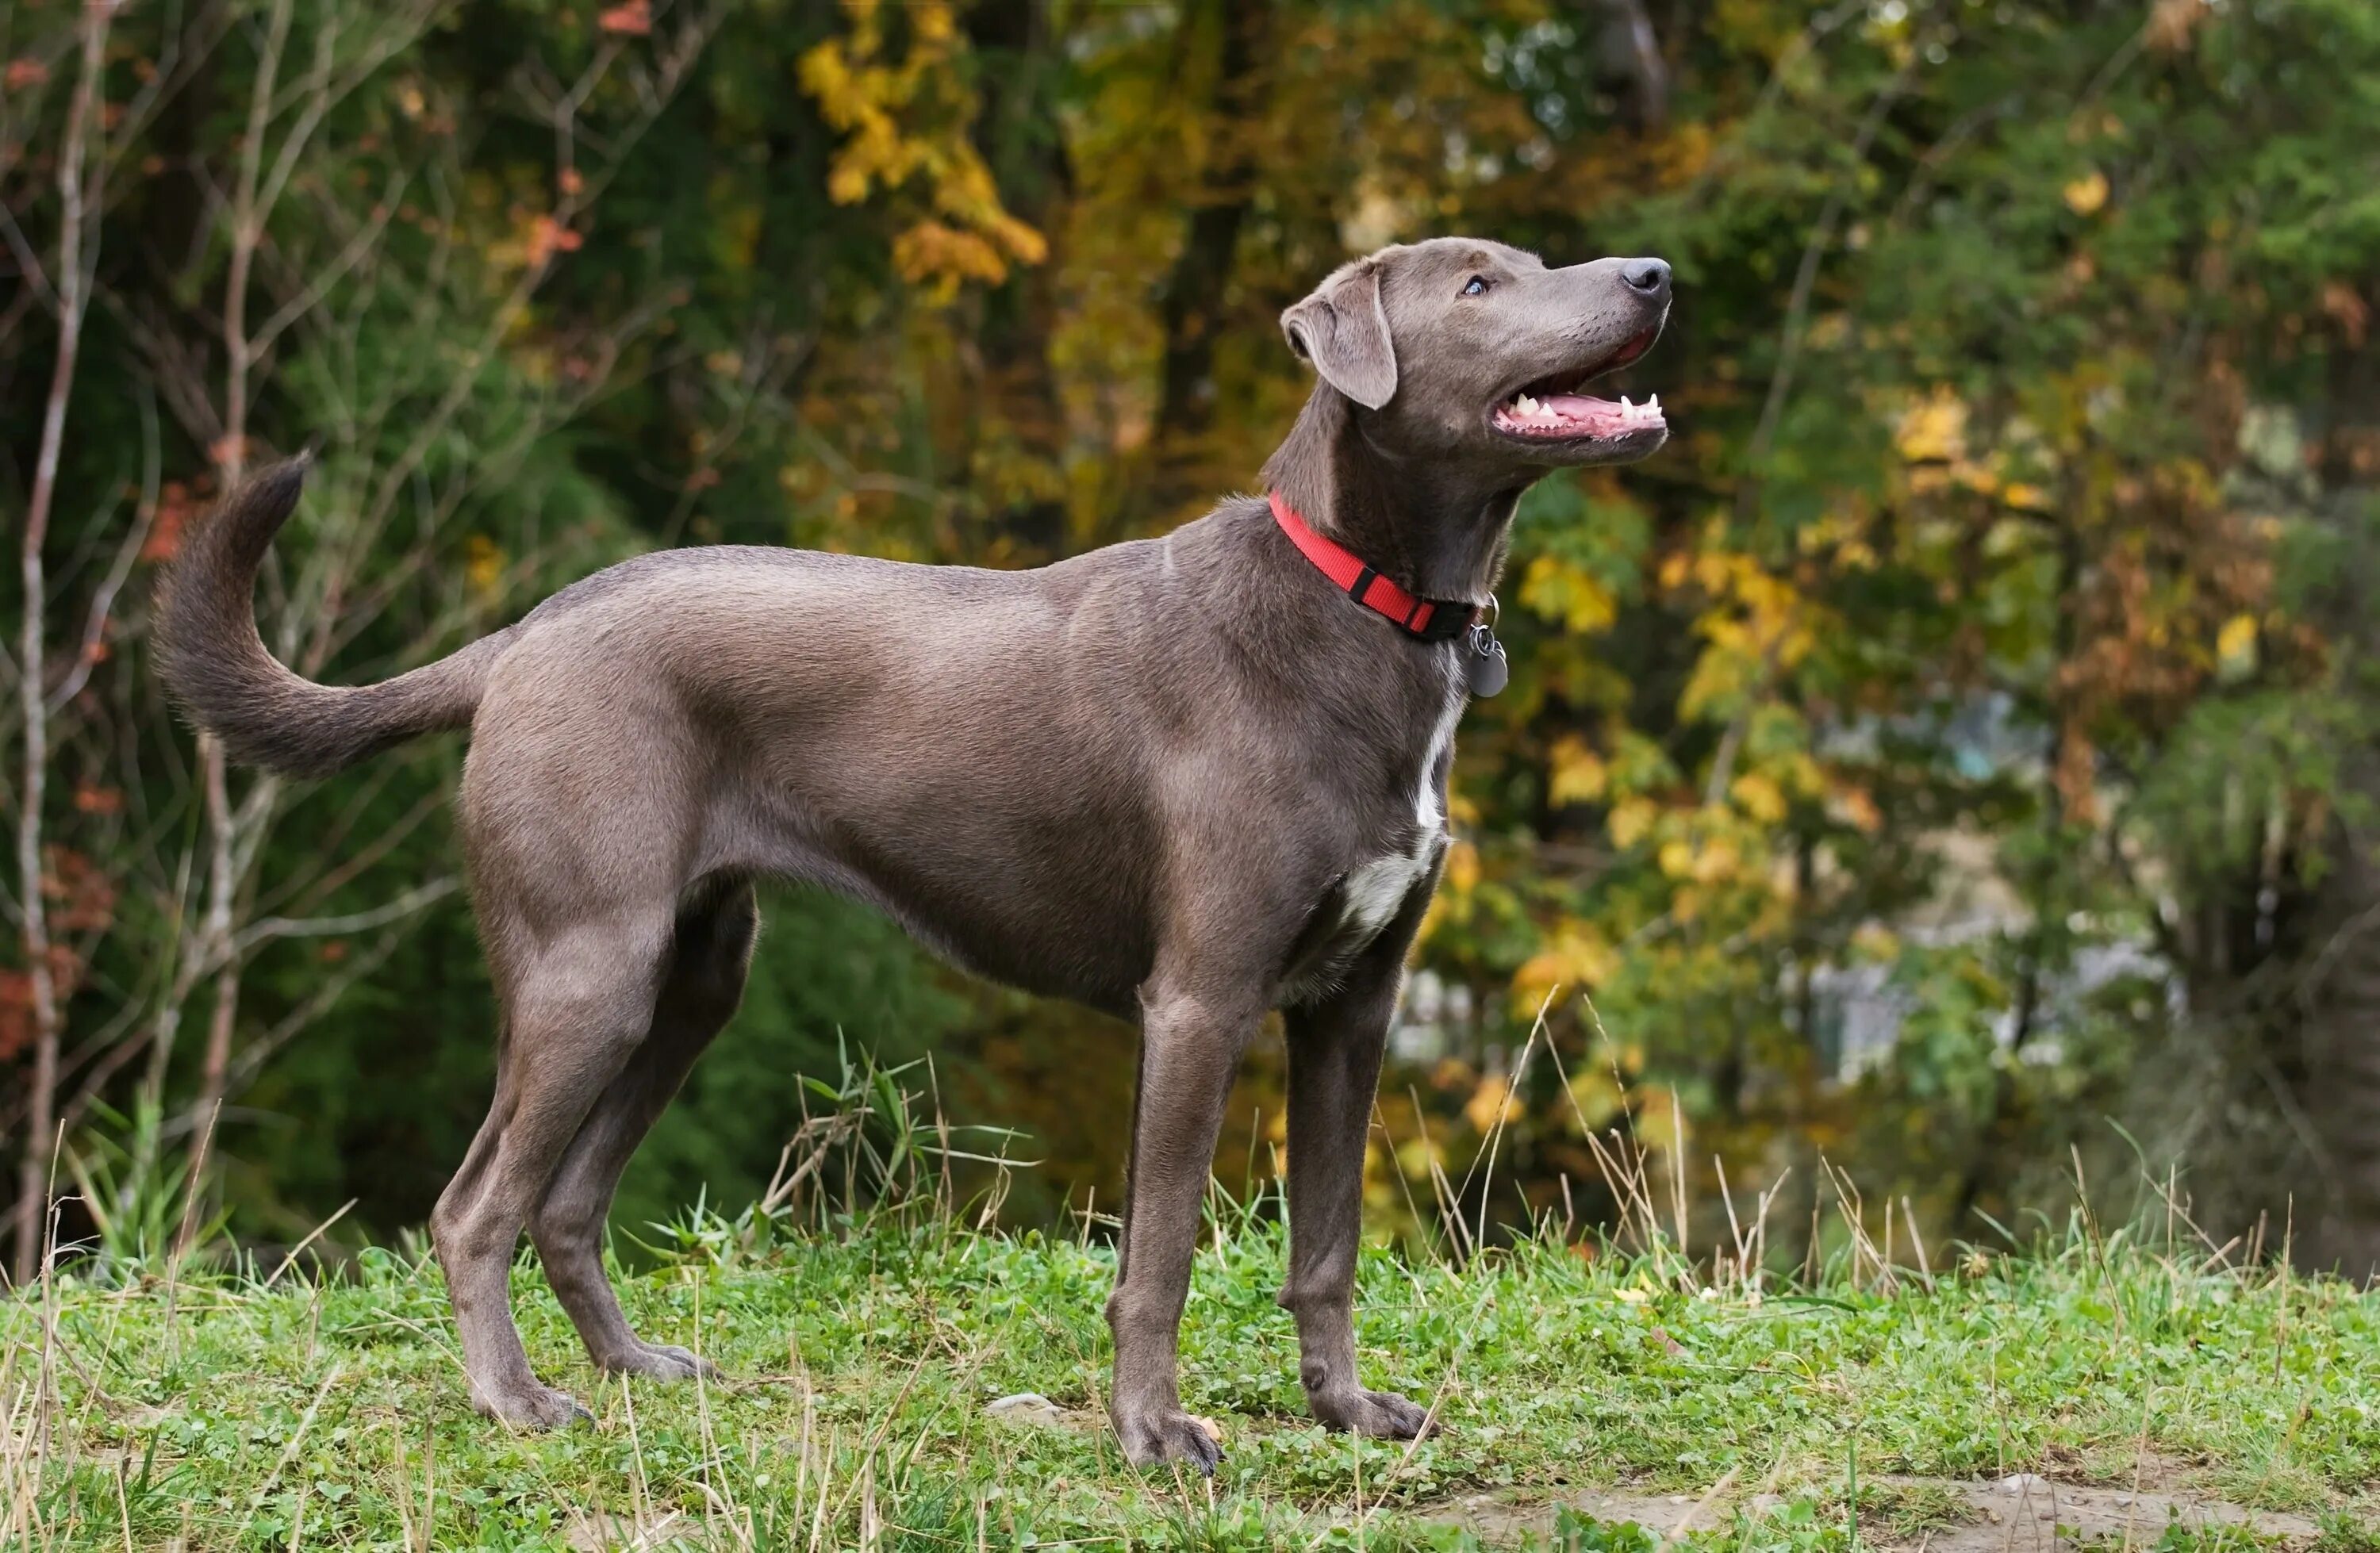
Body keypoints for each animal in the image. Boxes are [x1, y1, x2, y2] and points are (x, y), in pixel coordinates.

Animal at [158, 232, 1676, 1465]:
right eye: (1476, 286)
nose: (1655, 276)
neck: (1354, 602)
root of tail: (518, 637)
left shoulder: (1356, 1006)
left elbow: (1330, 1241)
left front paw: (1347, 1411)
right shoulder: (1199, 1000)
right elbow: (1163, 1252)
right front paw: (1152, 1431)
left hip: (691, 977)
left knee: (567, 1202)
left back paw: (634, 1366)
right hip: (589, 967)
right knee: (474, 1204)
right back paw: (518, 1401)